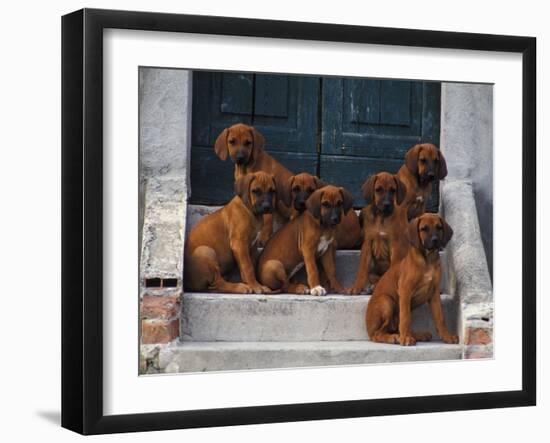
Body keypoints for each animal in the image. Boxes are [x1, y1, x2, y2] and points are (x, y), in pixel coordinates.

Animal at [366, 214, 462, 346]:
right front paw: (405, 338)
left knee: (395, 327)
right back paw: (394, 337)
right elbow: (405, 318)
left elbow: (440, 317)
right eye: (424, 229)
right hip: (386, 301)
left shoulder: (434, 294)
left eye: (439, 227)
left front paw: (447, 336)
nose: (435, 240)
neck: (428, 260)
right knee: (378, 334)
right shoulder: (405, 291)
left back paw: (418, 335)